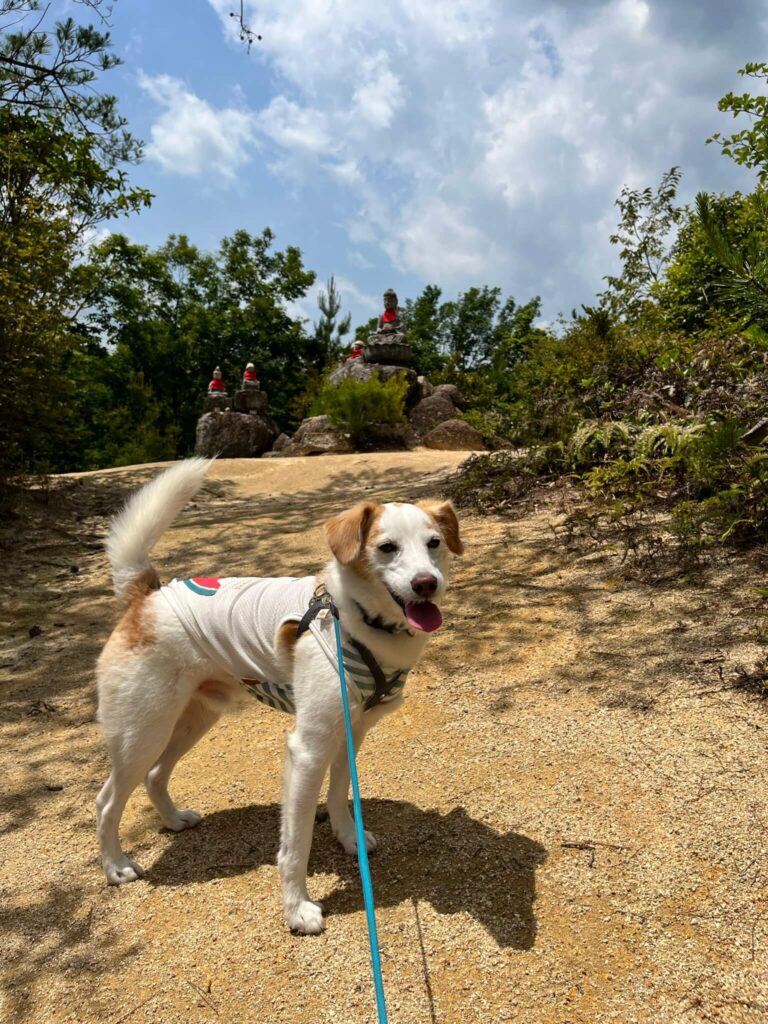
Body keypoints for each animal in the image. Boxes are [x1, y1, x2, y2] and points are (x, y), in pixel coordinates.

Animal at [92, 460, 460, 933]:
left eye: (434, 543)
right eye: (386, 547)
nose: (426, 584)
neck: (357, 620)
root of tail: (147, 595)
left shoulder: (350, 733)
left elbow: (339, 795)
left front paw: (349, 839)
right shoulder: (307, 749)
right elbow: (296, 844)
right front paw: (297, 908)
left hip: (192, 719)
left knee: (156, 776)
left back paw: (174, 821)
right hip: (142, 732)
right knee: (106, 802)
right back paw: (116, 866)